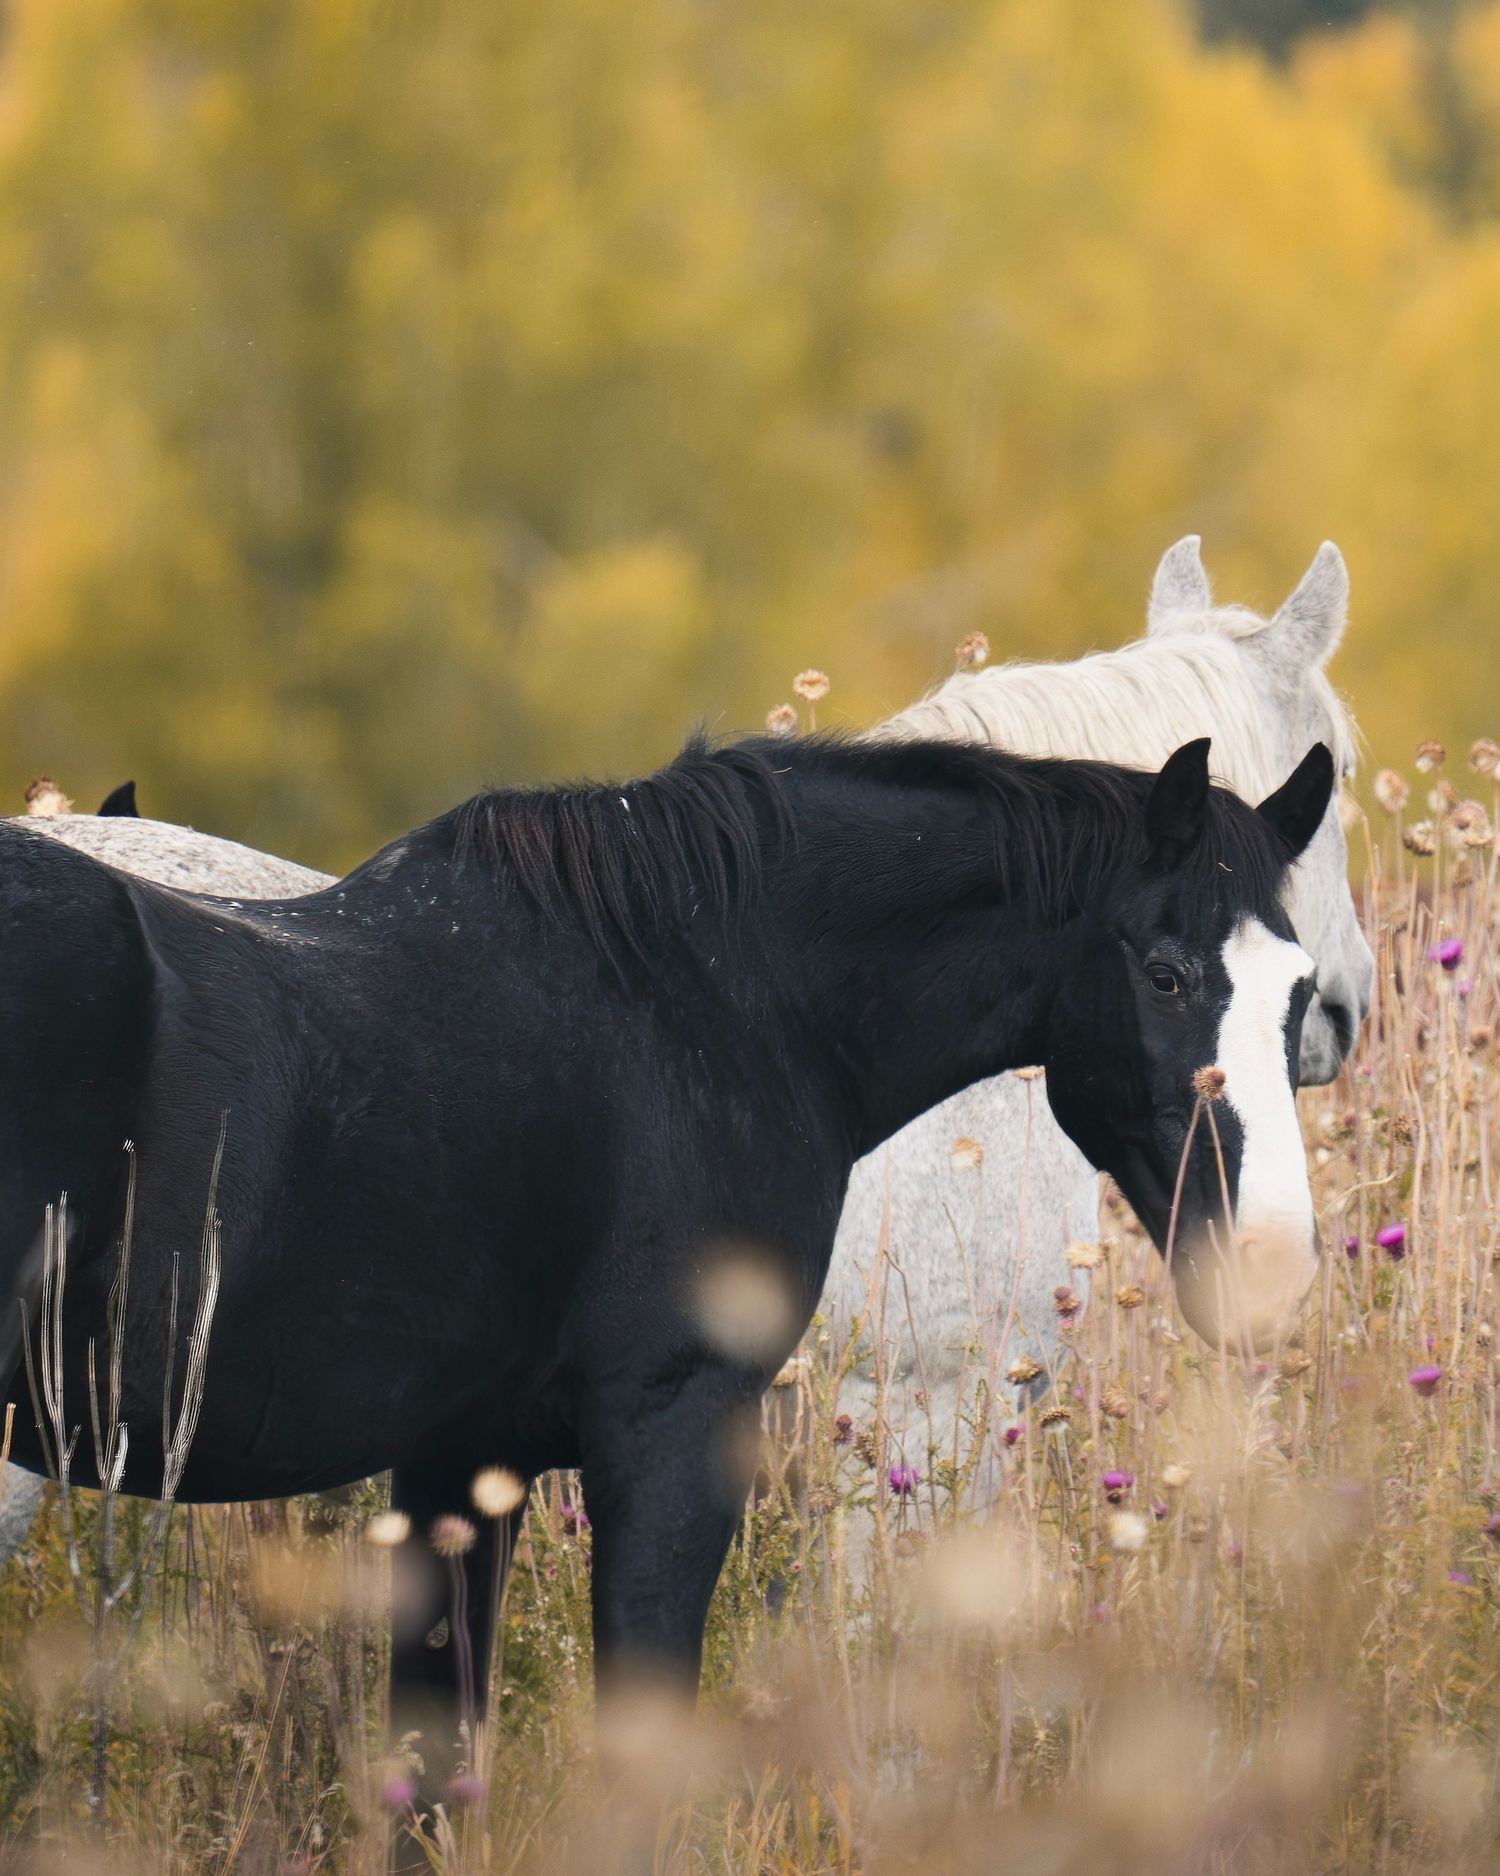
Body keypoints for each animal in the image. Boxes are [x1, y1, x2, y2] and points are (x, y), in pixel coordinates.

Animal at [0, 729, 1331, 1808]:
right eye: (1166, 973)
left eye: (1298, 996)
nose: (1269, 1266)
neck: (700, 1001)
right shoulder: (671, 1435)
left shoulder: (456, 1460)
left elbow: (432, 1774)